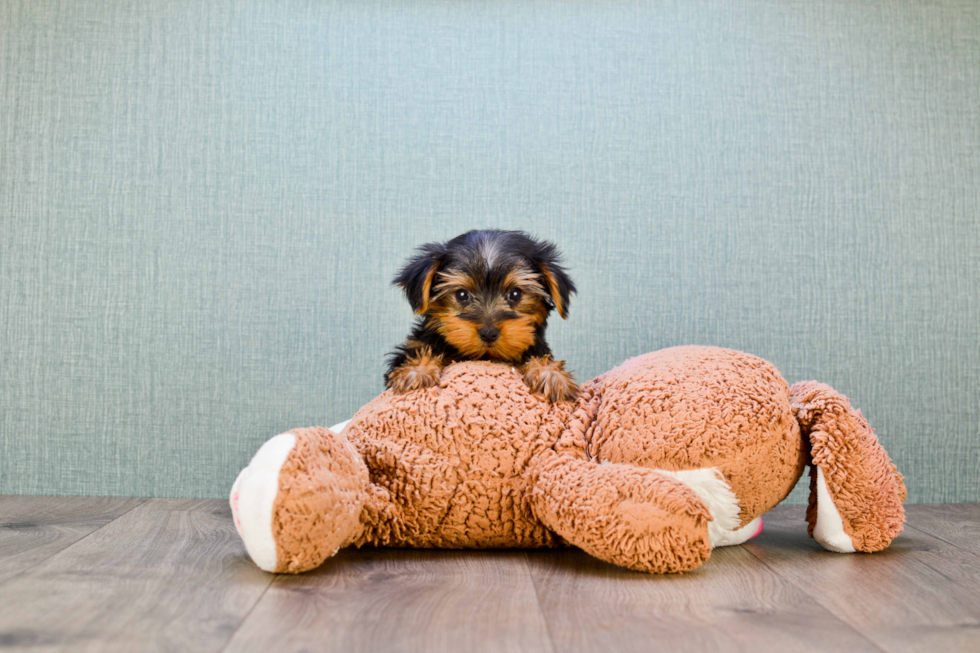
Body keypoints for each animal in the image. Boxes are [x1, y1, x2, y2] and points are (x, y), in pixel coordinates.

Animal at [384, 229, 580, 402]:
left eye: (515, 294)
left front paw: (551, 375)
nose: (488, 333)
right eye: (462, 295)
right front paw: (418, 371)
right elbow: (418, 352)